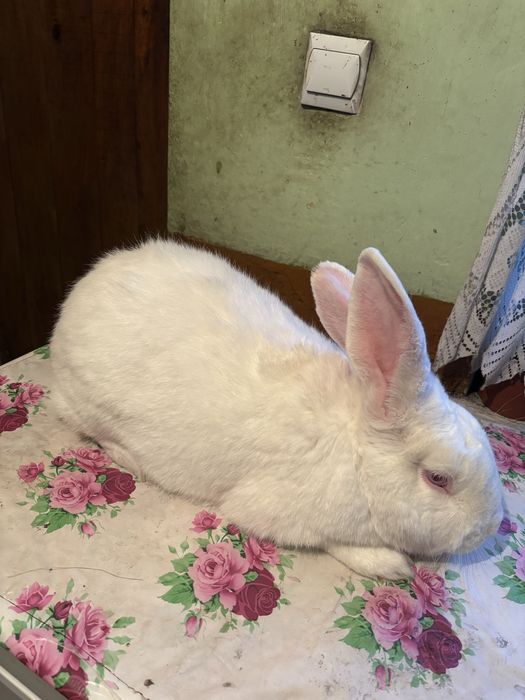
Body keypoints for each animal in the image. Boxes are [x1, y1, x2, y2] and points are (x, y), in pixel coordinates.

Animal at [50, 239, 504, 579]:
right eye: (438, 479)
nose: (491, 528)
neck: (356, 450)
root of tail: (78, 294)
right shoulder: (280, 514)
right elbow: (335, 542)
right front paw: (391, 564)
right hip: (87, 404)